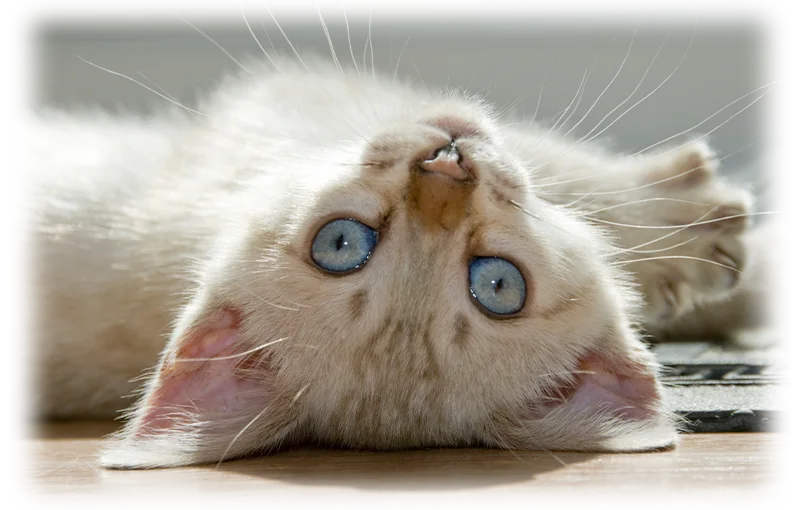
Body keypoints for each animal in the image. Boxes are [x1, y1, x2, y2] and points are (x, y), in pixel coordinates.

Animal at [6, 53, 792, 468]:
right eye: (342, 246)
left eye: (496, 285)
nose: (445, 171)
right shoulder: (290, 101)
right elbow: (567, 175)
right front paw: (705, 223)